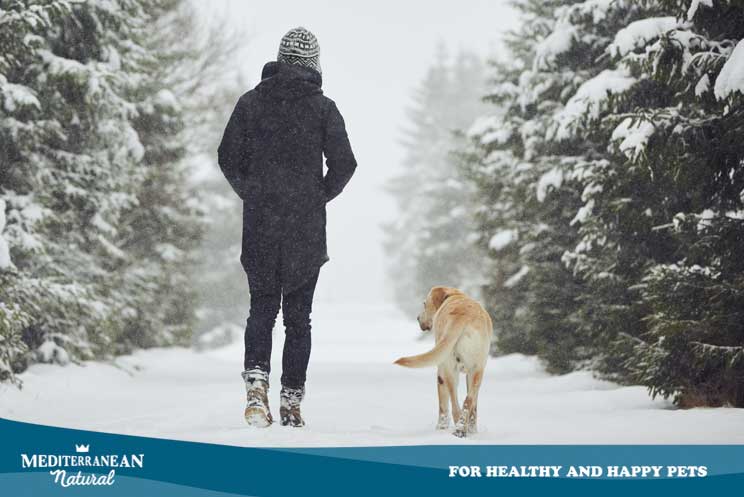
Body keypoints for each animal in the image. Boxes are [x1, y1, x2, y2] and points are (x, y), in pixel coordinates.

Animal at [396, 284, 494, 436]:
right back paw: (463, 428)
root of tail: (462, 316)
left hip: (448, 369)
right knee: (469, 401)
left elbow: (442, 406)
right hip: (477, 370)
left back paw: (458, 428)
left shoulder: (440, 373)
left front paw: (440, 428)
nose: (417, 318)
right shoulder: (471, 374)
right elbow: (474, 407)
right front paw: (473, 431)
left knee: (454, 404)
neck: (454, 296)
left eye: (424, 304)